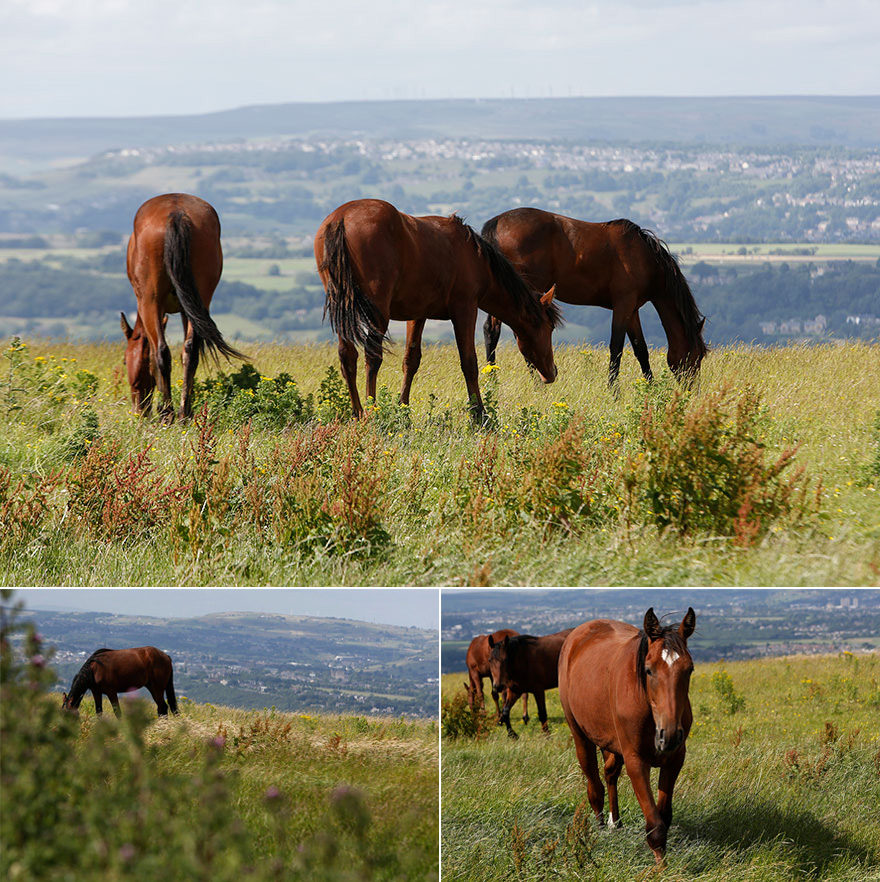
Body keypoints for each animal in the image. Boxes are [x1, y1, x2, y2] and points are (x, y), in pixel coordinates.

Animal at [120, 194, 244, 422]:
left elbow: (153, 356)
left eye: (125, 361)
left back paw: (168, 412)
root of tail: (176, 213)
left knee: (161, 352)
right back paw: (184, 413)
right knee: (191, 351)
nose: (139, 411)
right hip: (199, 300)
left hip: (151, 301)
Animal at [314, 199, 564, 420]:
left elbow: (411, 360)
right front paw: (479, 414)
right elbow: (469, 362)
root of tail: (341, 219)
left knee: (348, 356)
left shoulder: (417, 315)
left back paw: (357, 413)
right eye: (549, 328)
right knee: (372, 356)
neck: (474, 256)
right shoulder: (465, 309)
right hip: (378, 313)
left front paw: (404, 411)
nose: (552, 372)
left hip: (344, 311)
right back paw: (372, 412)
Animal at [482, 208, 708, 386]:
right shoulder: (623, 305)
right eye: (696, 356)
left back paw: (494, 380)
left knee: (492, 331)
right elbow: (616, 348)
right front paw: (614, 392)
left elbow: (640, 349)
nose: (692, 390)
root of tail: (497, 223)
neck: (645, 259)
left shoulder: (632, 309)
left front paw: (650, 388)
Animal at [560, 604, 696, 860]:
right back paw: (600, 825)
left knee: (610, 774)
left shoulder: (674, 759)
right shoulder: (636, 760)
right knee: (595, 786)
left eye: (690, 669)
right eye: (649, 670)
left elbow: (664, 817)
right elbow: (655, 827)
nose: (670, 735)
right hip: (580, 736)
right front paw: (661, 866)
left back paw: (616, 822)